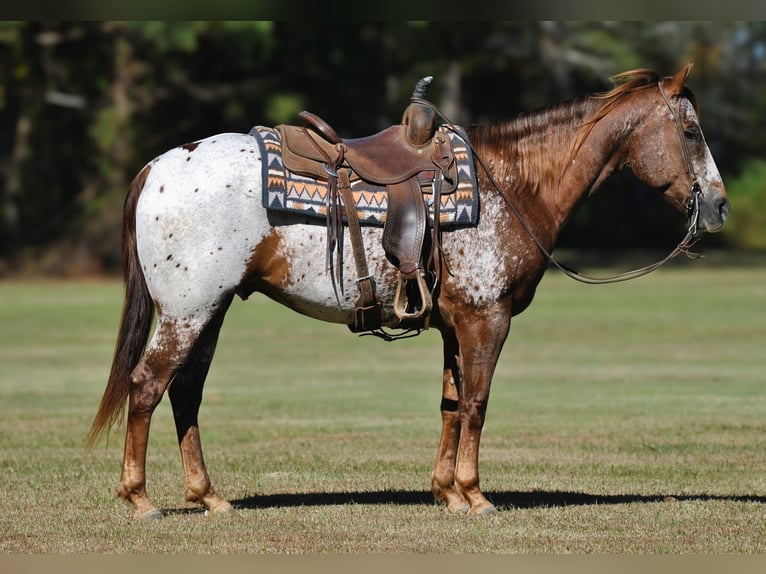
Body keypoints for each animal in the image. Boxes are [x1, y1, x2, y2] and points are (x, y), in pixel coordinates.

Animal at [88, 64, 729, 520]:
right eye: (691, 130)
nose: (720, 206)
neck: (514, 183)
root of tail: (157, 167)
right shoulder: (487, 318)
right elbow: (476, 403)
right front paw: (476, 495)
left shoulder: (455, 323)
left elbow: (450, 403)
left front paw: (447, 492)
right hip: (189, 310)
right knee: (147, 386)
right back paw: (140, 499)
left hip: (210, 310)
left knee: (185, 392)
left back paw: (208, 496)